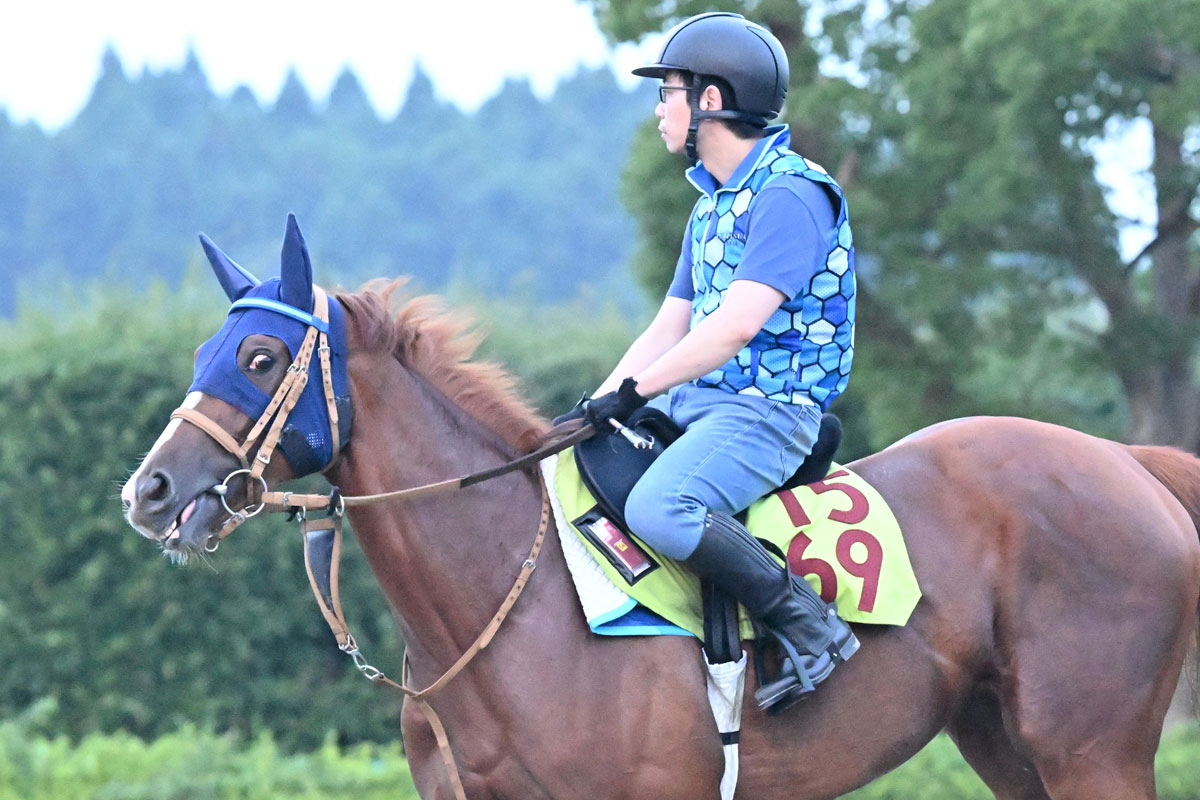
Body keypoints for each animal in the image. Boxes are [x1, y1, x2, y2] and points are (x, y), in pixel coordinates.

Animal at [123, 217, 1200, 800]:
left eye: (261, 357)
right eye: (203, 353)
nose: (151, 489)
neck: (509, 600)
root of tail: (1128, 461)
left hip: (1091, 747)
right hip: (1005, 738)